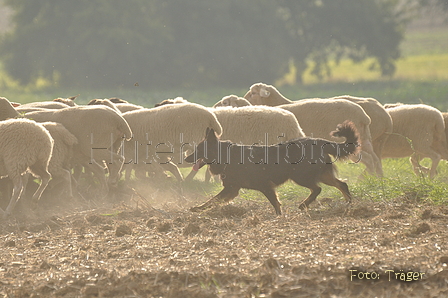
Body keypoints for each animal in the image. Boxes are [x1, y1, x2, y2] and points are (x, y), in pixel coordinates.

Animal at [185, 120, 360, 215]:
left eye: (198, 149)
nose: (186, 158)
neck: (226, 156)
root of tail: (318, 141)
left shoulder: (262, 186)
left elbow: (275, 202)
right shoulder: (233, 189)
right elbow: (213, 200)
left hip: (300, 176)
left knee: (317, 189)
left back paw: (304, 205)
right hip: (322, 175)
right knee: (342, 184)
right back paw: (349, 203)